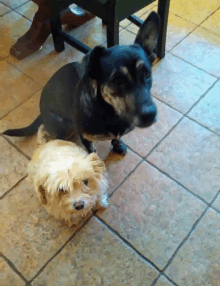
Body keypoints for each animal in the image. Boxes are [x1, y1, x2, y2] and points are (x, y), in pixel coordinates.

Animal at [3, 11, 160, 154]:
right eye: (117, 80)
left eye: (147, 74)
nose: (150, 114)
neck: (109, 111)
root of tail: (41, 112)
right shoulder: (85, 138)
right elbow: (91, 151)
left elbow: (116, 137)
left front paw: (118, 145)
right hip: (63, 125)